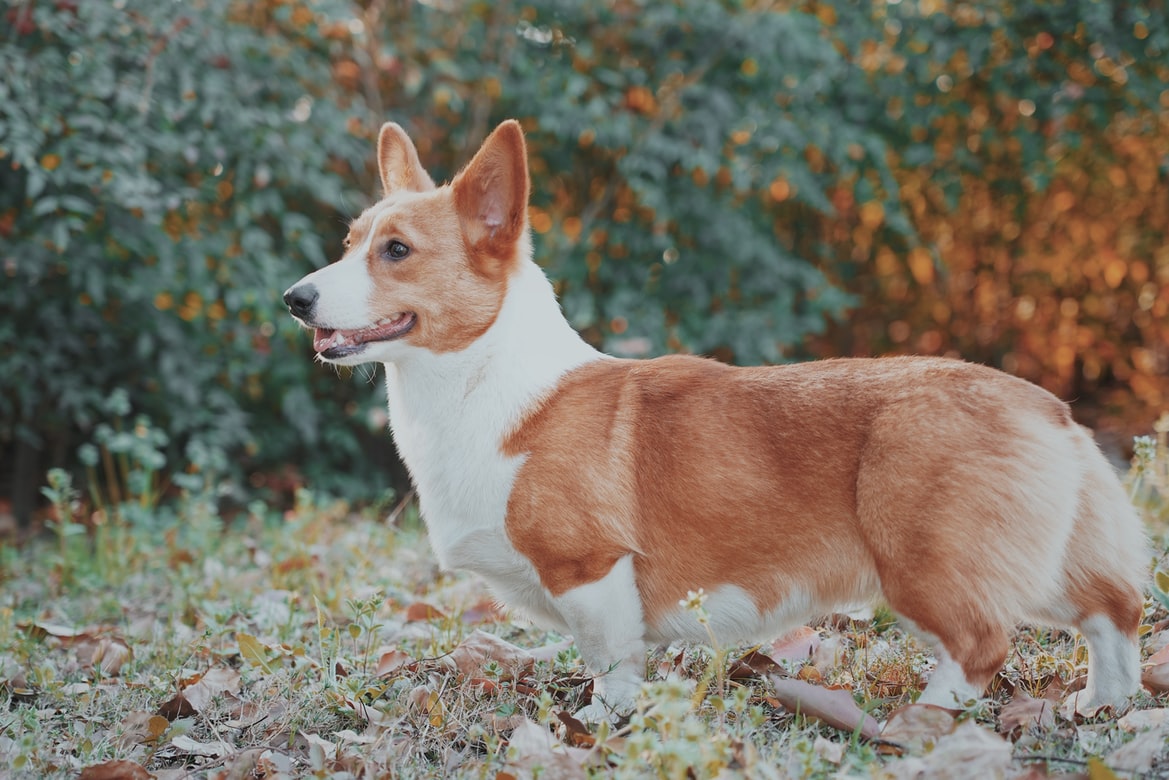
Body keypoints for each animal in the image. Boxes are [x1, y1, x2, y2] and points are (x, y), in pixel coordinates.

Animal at [287, 119, 1145, 725]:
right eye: (348, 243)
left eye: (396, 251)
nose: (294, 299)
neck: (480, 380)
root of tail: (1045, 406)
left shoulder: (591, 570)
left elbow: (611, 662)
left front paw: (598, 724)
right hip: (1039, 562)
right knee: (1112, 612)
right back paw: (1102, 705)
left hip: (926, 563)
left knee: (981, 647)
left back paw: (922, 722)